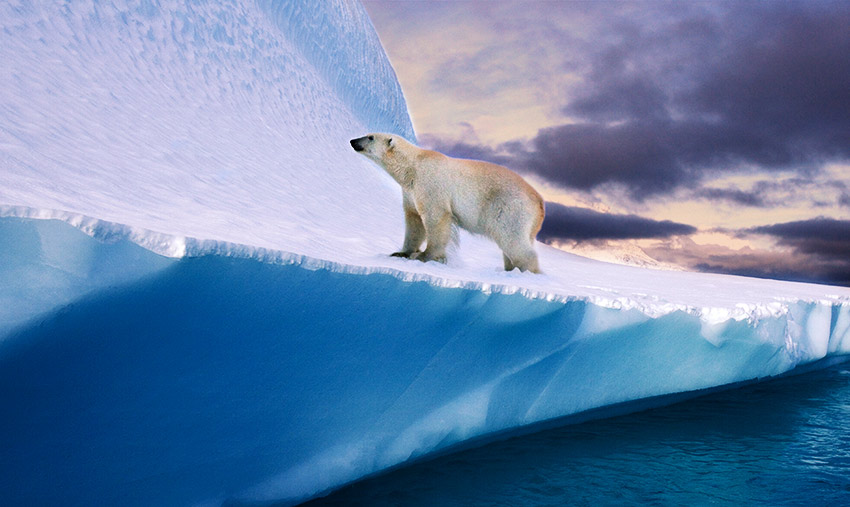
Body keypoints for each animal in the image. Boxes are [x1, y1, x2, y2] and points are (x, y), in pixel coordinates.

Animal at [350, 133, 544, 273]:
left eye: (370, 137)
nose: (352, 141)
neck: (412, 167)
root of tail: (540, 203)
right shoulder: (410, 191)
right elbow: (414, 220)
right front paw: (401, 253)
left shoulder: (430, 184)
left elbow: (436, 218)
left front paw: (425, 256)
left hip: (510, 208)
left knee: (512, 239)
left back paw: (526, 271)